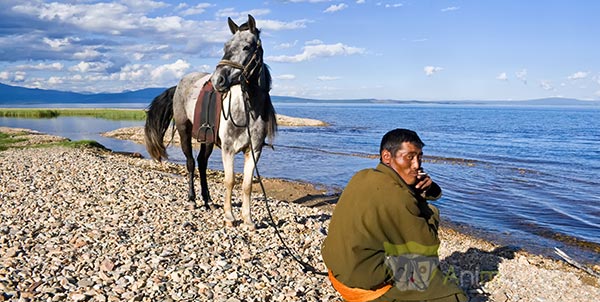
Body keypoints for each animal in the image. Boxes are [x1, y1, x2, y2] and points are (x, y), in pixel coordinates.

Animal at [144, 14, 278, 229]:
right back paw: (192, 200)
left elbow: (247, 185)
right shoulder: (228, 149)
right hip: (184, 131)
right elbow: (230, 181)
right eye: (226, 46)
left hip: (207, 139)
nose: (218, 80)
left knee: (202, 163)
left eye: (247, 47)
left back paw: (207, 201)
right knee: (191, 163)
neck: (248, 111)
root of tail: (181, 83)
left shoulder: (254, 151)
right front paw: (229, 217)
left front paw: (248, 219)